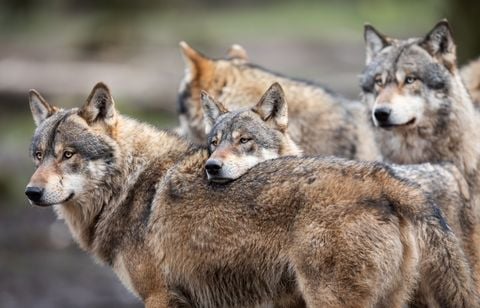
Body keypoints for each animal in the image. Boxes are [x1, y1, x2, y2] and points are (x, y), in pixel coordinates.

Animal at [25, 81, 476, 306]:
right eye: (38, 155)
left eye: (68, 155)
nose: (31, 192)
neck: (130, 186)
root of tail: (386, 179)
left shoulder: (160, 297)